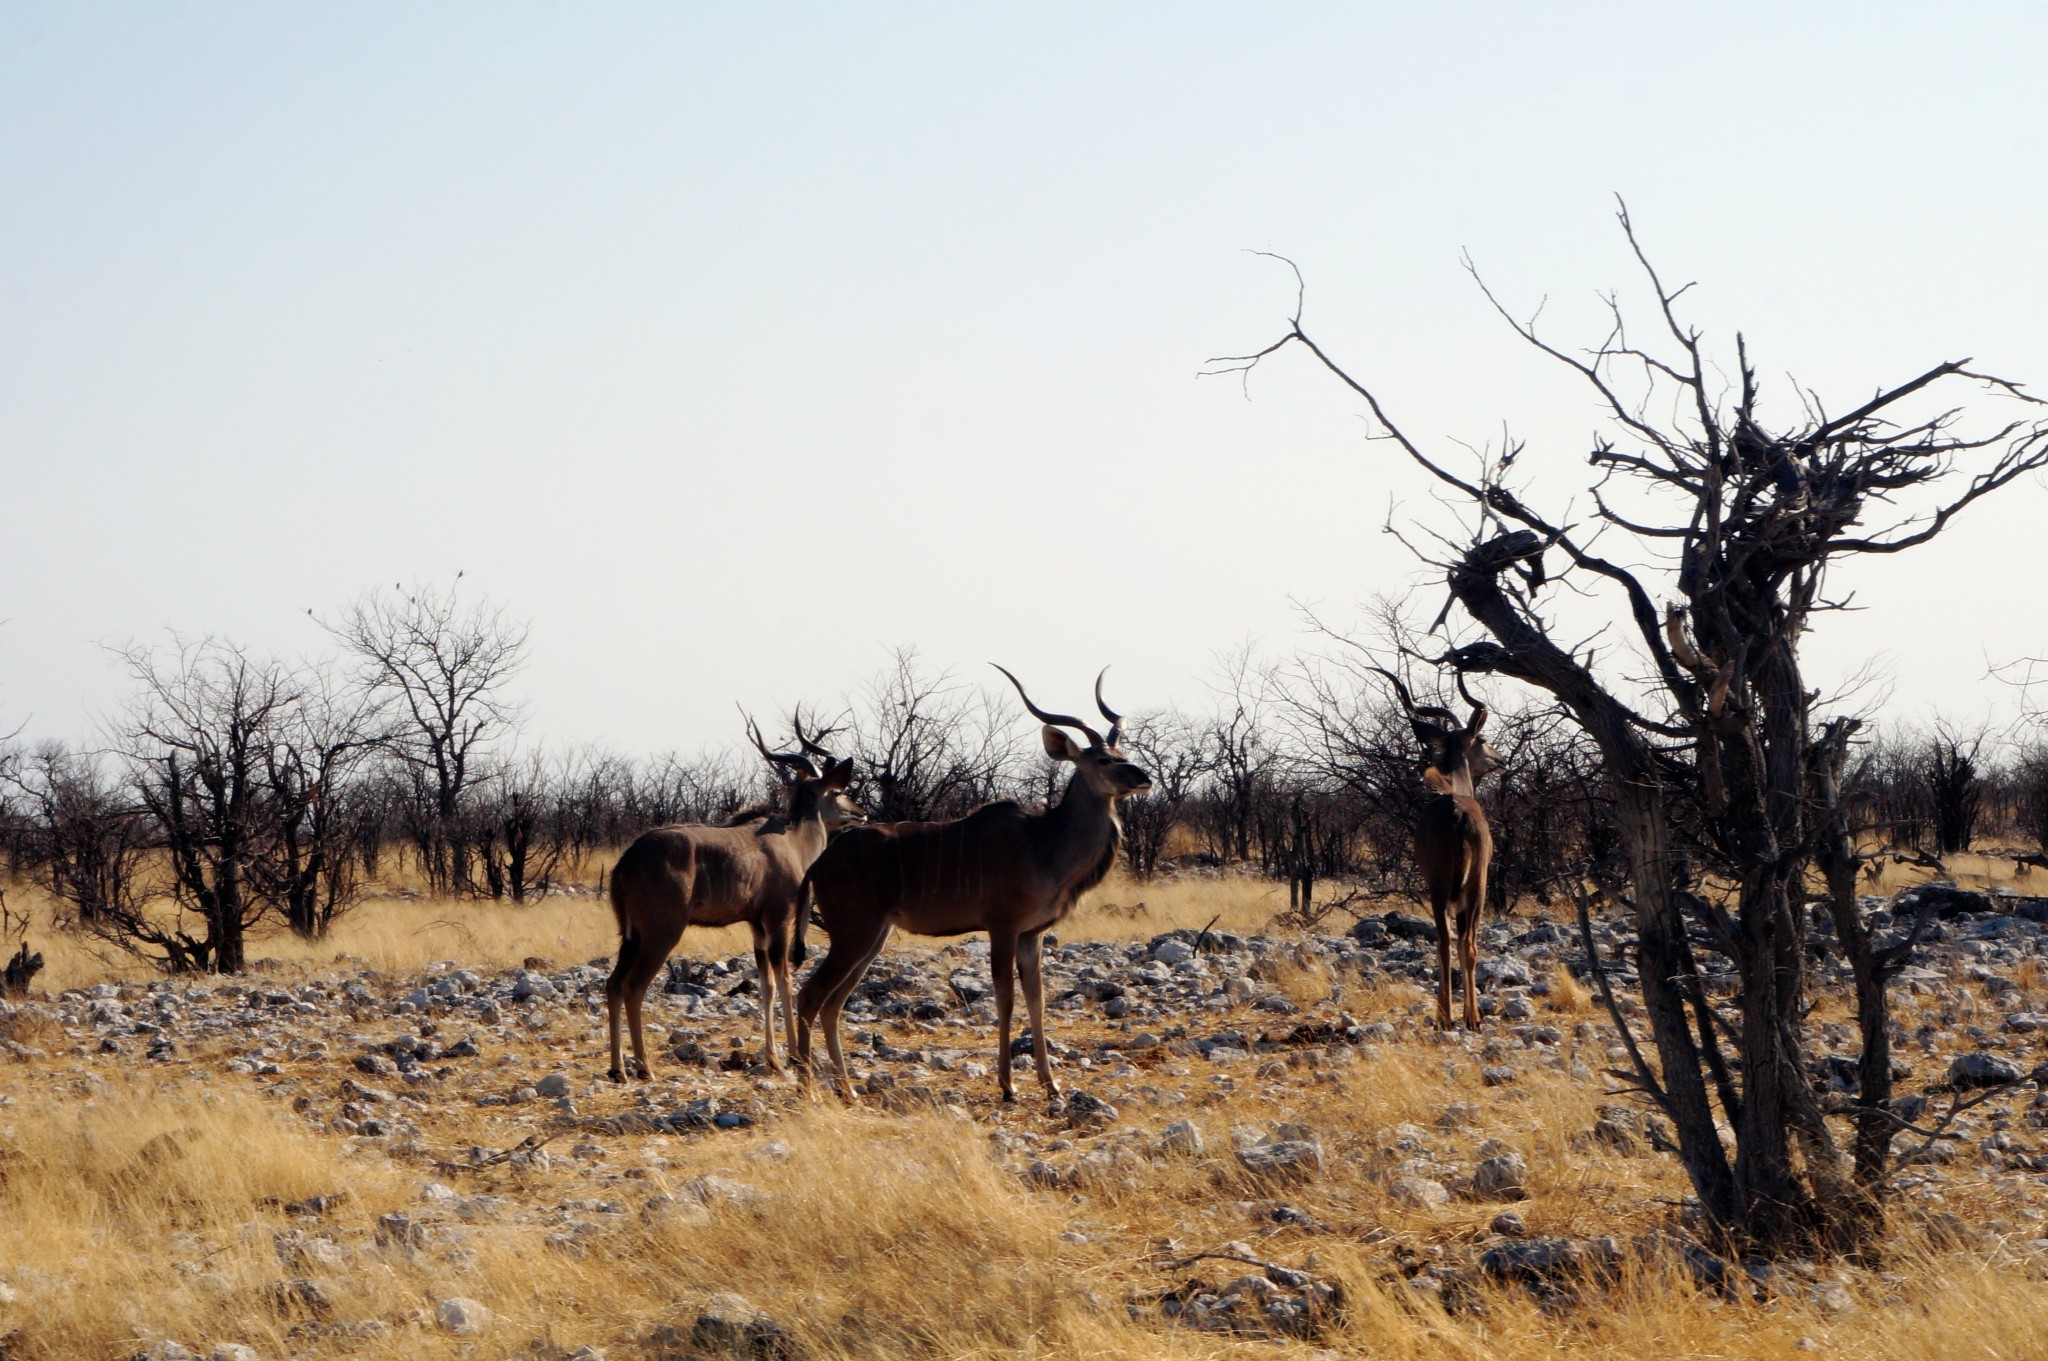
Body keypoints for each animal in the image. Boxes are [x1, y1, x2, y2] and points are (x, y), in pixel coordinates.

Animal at [606, 716, 864, 1080]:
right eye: (838, 791)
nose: (861, 813)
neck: (793, 840)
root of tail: (625, 863)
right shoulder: (778, 920)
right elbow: (785, 981)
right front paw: (793, 1056)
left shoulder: (756, 927)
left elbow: (767, 986)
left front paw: (773, 1058)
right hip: (661, 934)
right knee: (633, 988)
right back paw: (644, 1068)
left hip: (631, 937)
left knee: (613, 985)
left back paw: (618, 1069)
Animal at [794, 667, 1155, 1105]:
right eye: (1104, 759)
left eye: (1123, 754)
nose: (1143, 778)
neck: (1044, 842)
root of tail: (820, 862)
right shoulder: (1003, 928)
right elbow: (1007, 999)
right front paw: (1008, 1086)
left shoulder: (1031, 935)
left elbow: (1037, 1001)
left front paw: (1050, 1084)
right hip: (853, 934)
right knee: (810, 996)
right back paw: (808, 1090)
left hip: (871, 938)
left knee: (832, 1003)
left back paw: (847, 1090)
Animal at [1376, 663, 1507, 1023]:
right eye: (1482, 738)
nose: (1500, 759)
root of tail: (1457, 814)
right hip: (1471, 891)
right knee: (1465, 944)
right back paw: (1468, 1019)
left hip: (1438, 892)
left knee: (1443, 942)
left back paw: (1443, 1018)